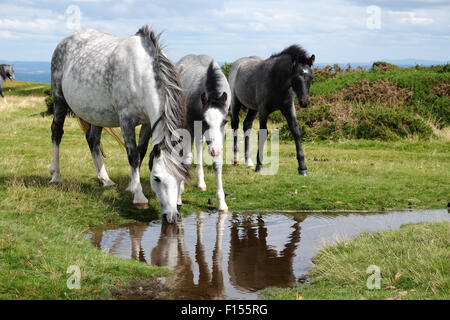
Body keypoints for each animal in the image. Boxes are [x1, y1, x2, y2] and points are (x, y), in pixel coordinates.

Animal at [50, 25, 189, 222]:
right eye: (156, 178)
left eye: (180, 178)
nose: (171, 217)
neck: (141, 74)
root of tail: (66, 40)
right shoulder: (126, 120)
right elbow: (133, 156)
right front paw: (139, 197)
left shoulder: (147, 123)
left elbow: (141, 152)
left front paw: (131, 186)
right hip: (59, 99)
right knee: (57, 132)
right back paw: (55, 175)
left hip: (96, 113)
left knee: (93, 140)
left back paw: (104, 179)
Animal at [176, 55, 232, 212]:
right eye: (206, 121)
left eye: (225, 121)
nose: (214, 150)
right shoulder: (190, 124)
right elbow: (187, 158)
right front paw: (179, 197)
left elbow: (217, 163)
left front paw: (222, 203)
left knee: (199, 145)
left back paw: (201, 183)